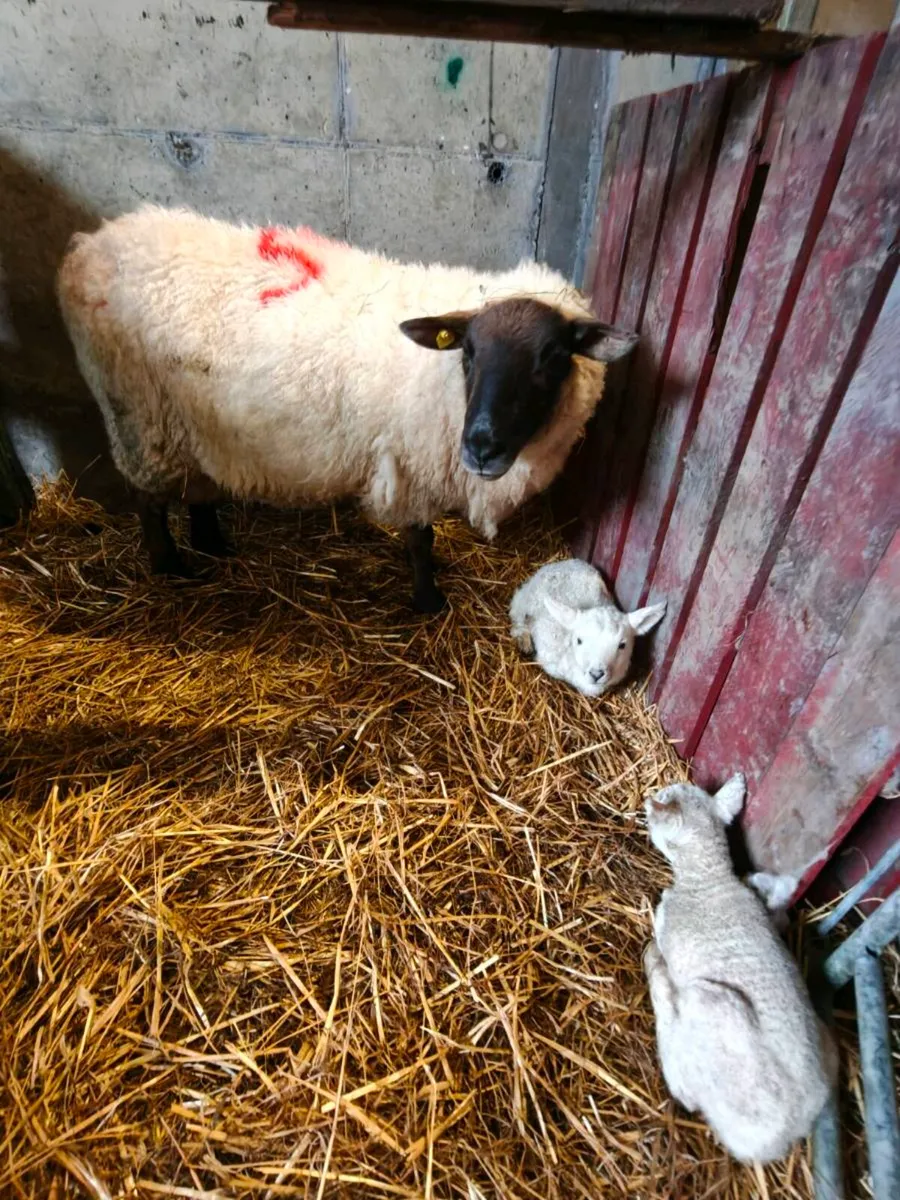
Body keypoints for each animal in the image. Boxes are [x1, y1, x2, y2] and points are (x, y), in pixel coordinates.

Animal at [56, 206, 637, 612]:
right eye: (468, 353)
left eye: (553, 358)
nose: (480, 447)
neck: (442, 383)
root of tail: (87, 248)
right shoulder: (412, 467)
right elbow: (420, 539)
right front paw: (428, 601)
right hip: (137, 414)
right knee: (148, 499)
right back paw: (170, 567)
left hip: (195, 423)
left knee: (200, 485)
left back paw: (215, 546)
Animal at [509, 558, 666, 696]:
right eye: (579, 641)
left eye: (622, 645)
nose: (596, 674)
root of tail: (561, 564)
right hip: (524, 599)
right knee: (517, 617)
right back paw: (524, 641)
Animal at [643, 774, 836, 1163]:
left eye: (664, 796)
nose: (647, 800)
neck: (708, 880)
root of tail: (784, 1136)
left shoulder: (668, 922)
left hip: (710, 1004)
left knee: (682, 1084)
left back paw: (655, 967)